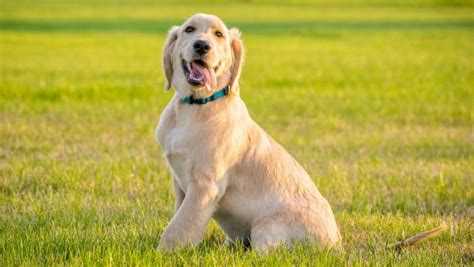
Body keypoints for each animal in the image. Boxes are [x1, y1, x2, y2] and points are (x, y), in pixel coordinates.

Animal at [156, 13, 340, 252]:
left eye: (219, 34)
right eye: (189, 29)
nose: (202, 46)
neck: (197, 105)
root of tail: (336, 241)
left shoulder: (205, 186)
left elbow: (178, 228)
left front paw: (161, 253)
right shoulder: (179, 182)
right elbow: (177, 216)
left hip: (265, 225)